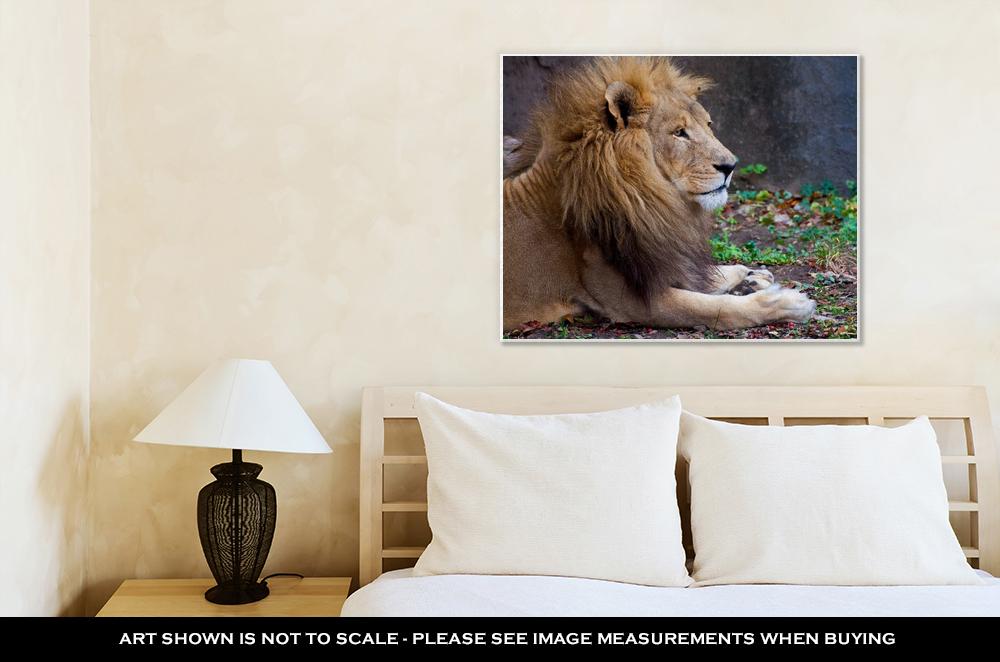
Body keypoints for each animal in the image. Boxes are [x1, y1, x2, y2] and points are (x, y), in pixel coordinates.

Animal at [503, 57, 815, 332]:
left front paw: (751, 276)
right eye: (679, 132)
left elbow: (699, 276)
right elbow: (715, 308)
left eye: (708, 125)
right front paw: (789, 302)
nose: (731, 166)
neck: (653, 200)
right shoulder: (631, 301)